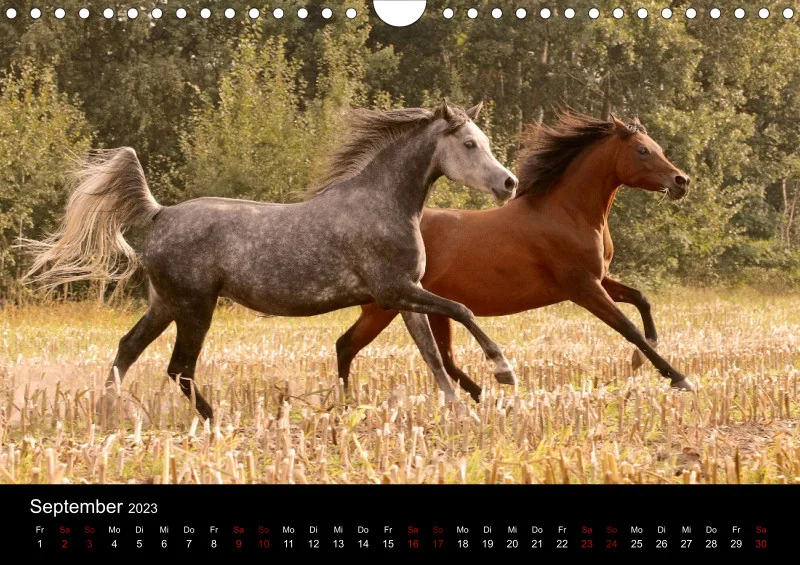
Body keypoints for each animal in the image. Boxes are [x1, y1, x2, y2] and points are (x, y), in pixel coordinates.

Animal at [23, 100, 520, 420]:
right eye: (470, 144)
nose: (509, 183)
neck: (384, 204)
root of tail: (159, 211)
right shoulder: (395, 290)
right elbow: (463, 310)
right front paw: (503, 371)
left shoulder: (404, 297)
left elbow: (432, 355)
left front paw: (460, 413)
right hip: (195, 308)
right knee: (179, 368)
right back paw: (217, 420)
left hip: (164, 305)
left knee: (127, 350)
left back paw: (111, 413)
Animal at [334, 111, 694, 402]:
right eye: (642, 150)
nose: (682, 181)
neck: (568, 213)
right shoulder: (584, 288)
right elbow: (628, 328)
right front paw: (678, 377)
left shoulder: (599, 279)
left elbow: (641, 299)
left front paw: (642, 357)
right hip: (386, 306)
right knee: (347, 345)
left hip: (429, 307)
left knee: (442, 356)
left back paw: (483, 394)